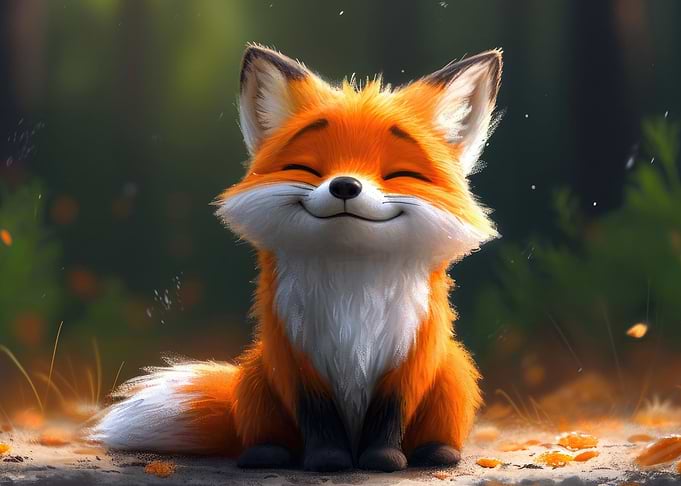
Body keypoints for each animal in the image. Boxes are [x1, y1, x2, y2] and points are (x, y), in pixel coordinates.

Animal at [91, 44, 502, 472]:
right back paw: (267, 454)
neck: (351, 284)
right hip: (256, 376)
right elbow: (317, 417)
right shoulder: (295, 357)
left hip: (454, 370)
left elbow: (390, 413)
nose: (345, 185)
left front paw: (382, 459)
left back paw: (438, 452)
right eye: (306, 168)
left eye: (399, 173)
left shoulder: (409, 357)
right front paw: (328, 460)